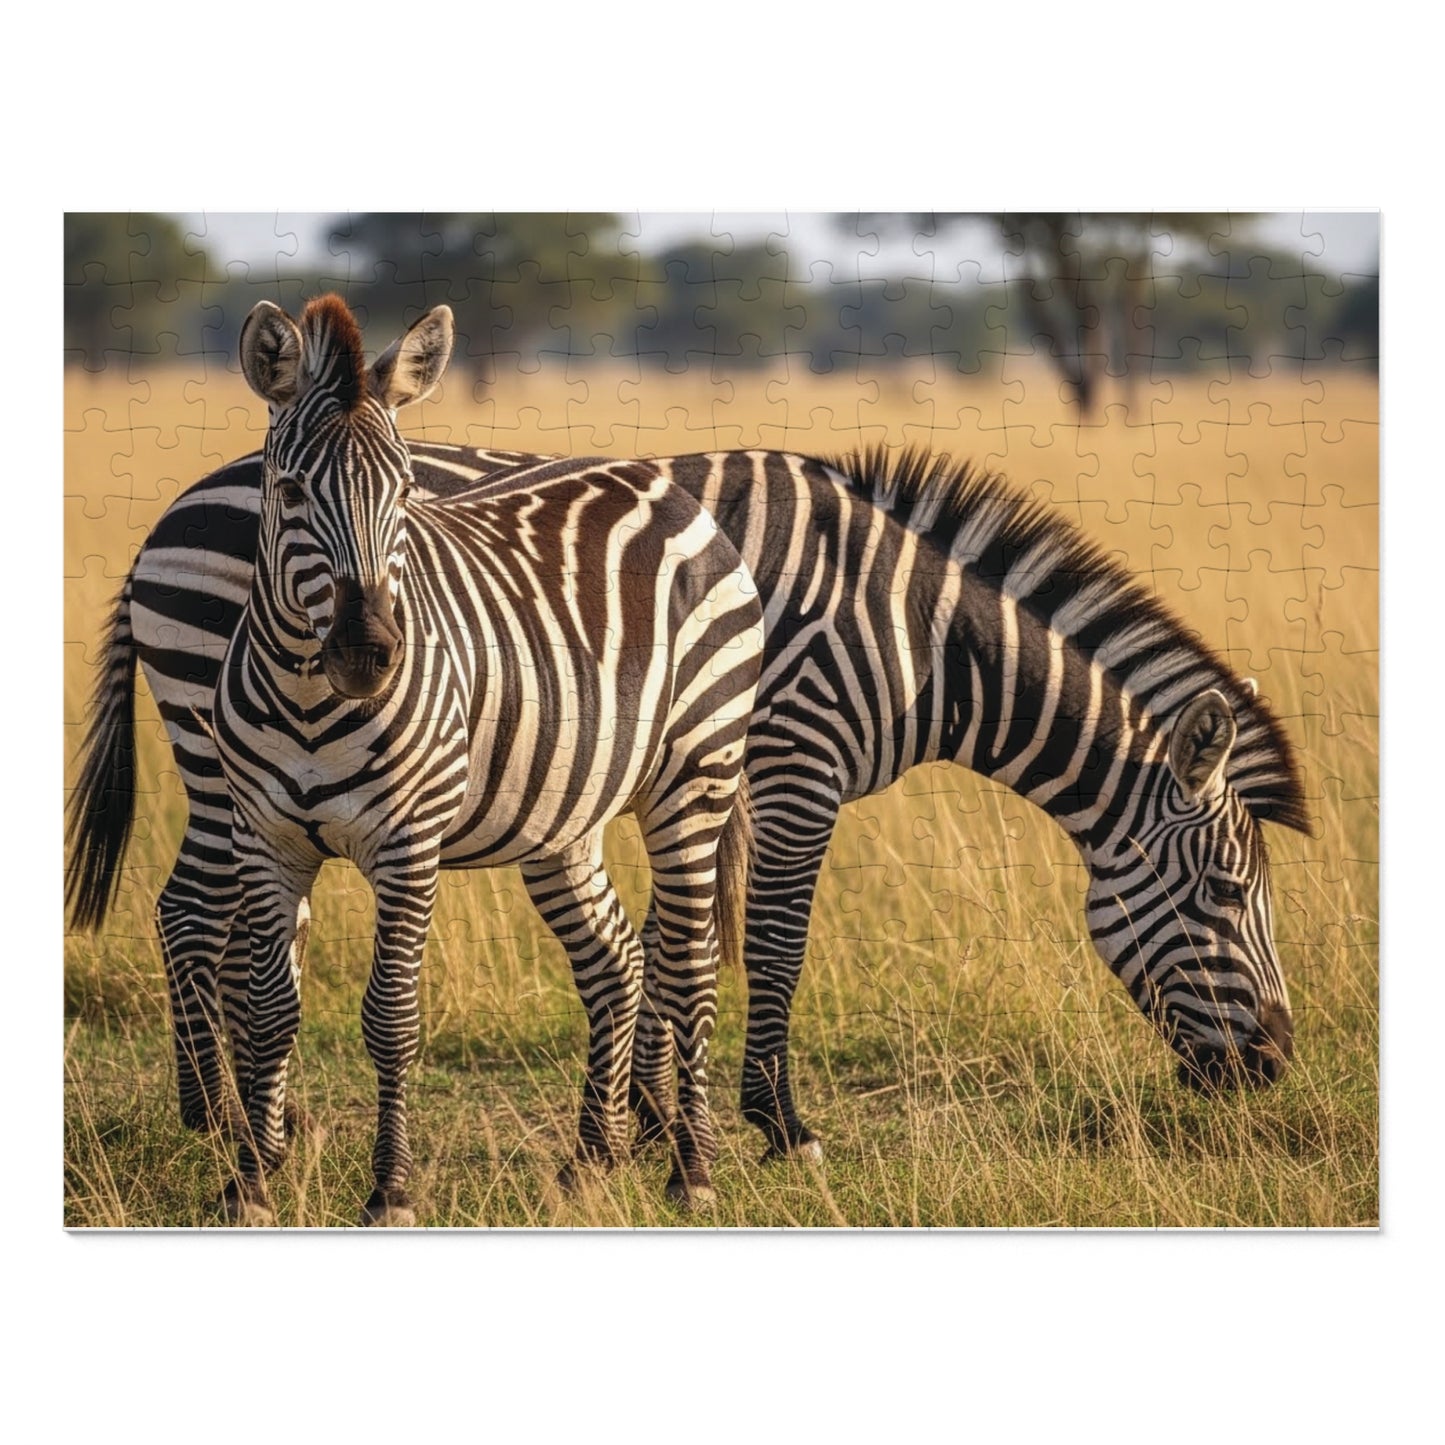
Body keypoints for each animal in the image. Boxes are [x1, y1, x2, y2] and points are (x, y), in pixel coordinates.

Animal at [69, 295, 763, 1222]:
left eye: (404, 492)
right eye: (289, 491)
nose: (368, 654)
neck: (309, 699)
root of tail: (663, 489)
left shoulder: (406, 846)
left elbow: (390, 1015)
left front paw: (388, 1187)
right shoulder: (269, 837)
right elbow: (271, 1006)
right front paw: (251, 1179)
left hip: (695, 773)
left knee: (685, 960)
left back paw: (689, 1165)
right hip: (555, 810)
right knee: (616, 955)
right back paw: (591, 1158)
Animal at [69, 398, 1309, 1171]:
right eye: (1223, 895)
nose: (1274, 1063)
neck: (922, 637)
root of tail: (176, 504)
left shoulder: (721, 768)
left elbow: (689, 938)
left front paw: (660, 1117)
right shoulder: (797, 757)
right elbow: (769, 941)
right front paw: (776, 1123)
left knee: (211, 913)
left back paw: (245, 1117)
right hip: (224, 740)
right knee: (192, 910)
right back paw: (220, 1123)